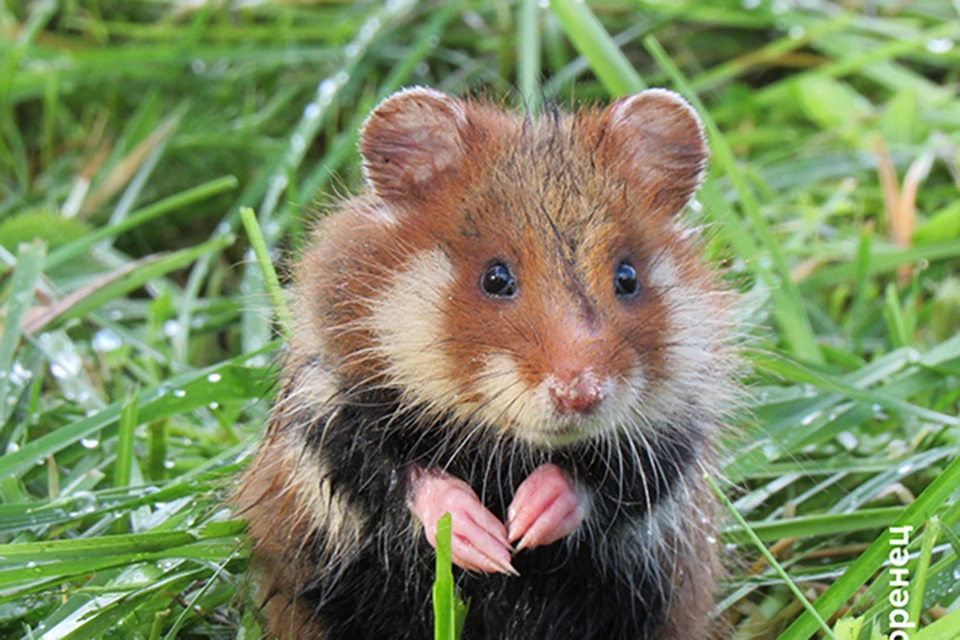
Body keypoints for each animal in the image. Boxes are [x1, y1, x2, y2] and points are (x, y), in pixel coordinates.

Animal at [234, 86, 744, 640]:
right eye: (495, 278)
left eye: (627, 277)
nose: (580, 395)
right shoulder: (328, 406)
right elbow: (396, 473)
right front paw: (489, 546)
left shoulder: (673, 432)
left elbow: (608, 481)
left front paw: (525, 524)